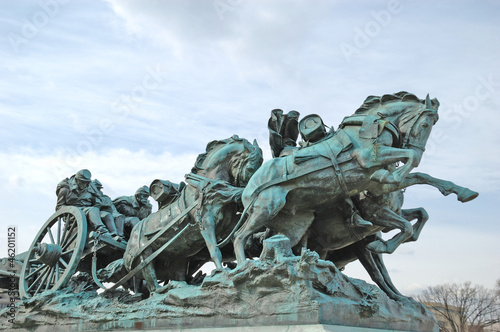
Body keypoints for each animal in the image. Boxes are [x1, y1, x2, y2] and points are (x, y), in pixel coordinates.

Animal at [233, 91, 438, 268]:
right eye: (425, 125)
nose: (416, 146)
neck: (371, 126)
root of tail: (250, 186)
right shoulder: (370, 161)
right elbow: (412, 158)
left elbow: (420, 206)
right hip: (266, 208)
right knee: (239, 237)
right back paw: (244, 267)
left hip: (293, 226)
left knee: (269, 249)